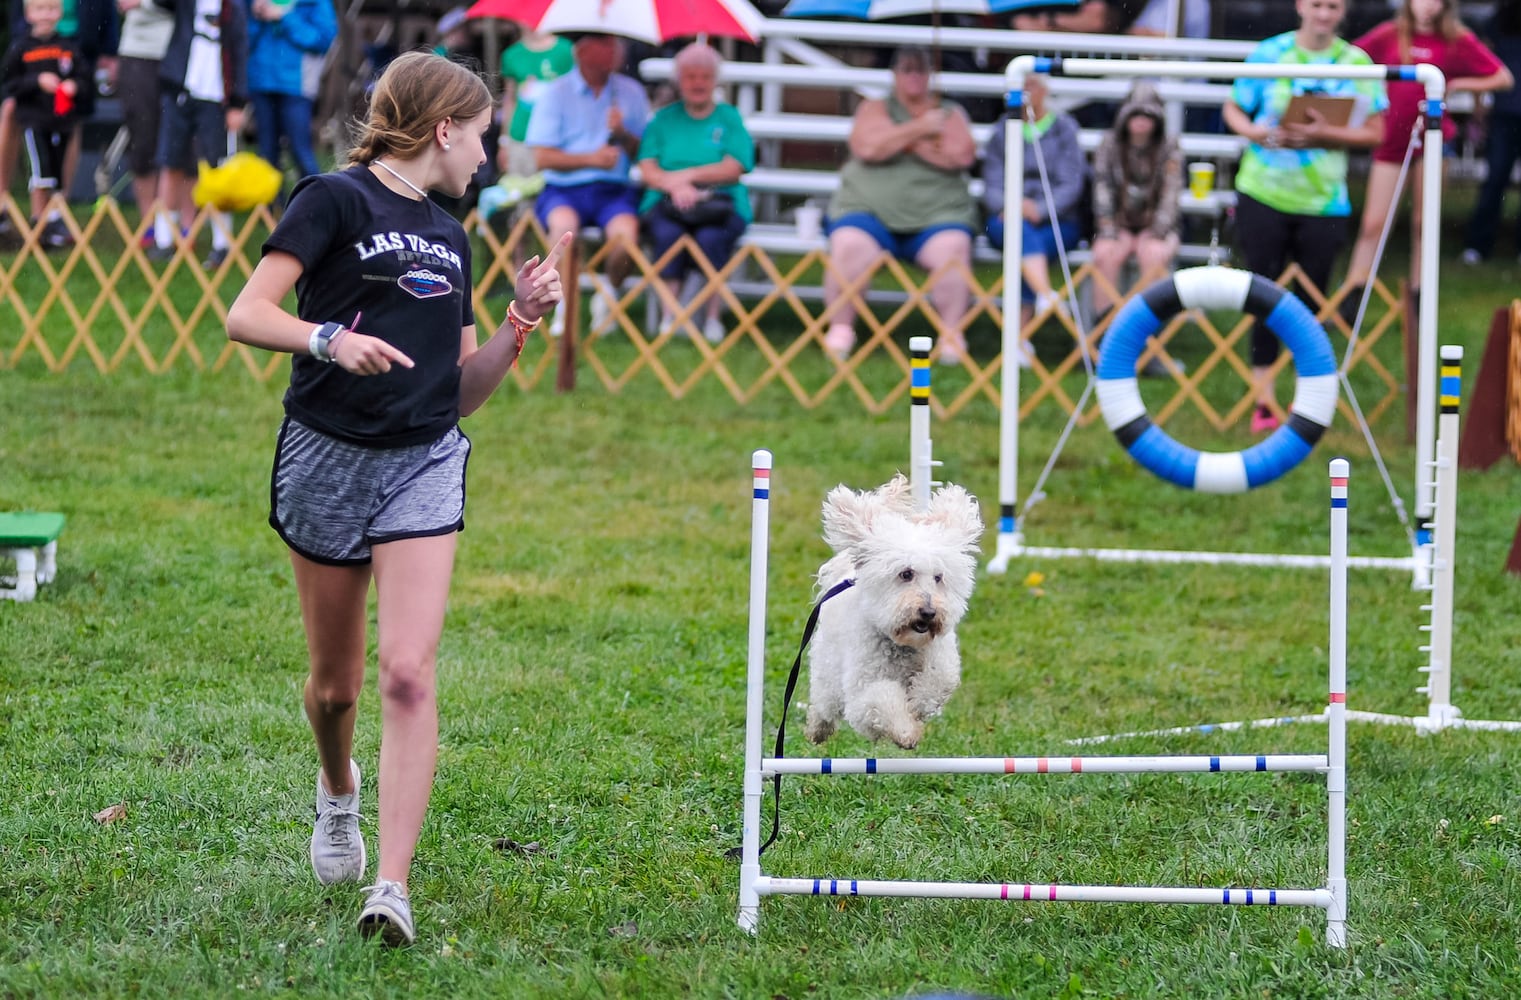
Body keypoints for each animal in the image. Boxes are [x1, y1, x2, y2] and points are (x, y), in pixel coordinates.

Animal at [809, 474, 985, 748]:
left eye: (939, 577)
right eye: (906, 573)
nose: (928, 612)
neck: (904, 645)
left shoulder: (941, 658)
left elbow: (937, 681)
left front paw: (917, 704)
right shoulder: (862, 689)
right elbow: (882, 698)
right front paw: (905, 731)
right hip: (828, 666)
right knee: (824, 701)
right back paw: (817, 728)